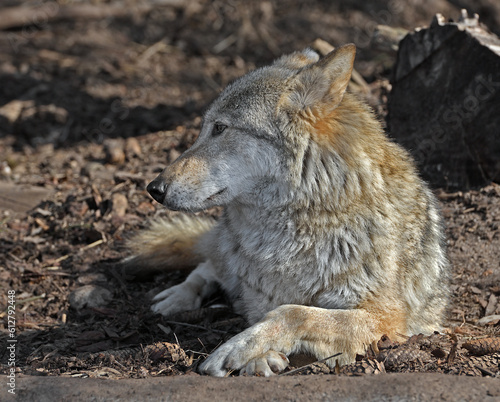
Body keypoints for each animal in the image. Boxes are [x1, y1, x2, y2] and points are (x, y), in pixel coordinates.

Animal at [124, 44, 450, 376]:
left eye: (219, 128)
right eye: (204, 129)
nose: (154, 188)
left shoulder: (388, 319)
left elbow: (293, 312)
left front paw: (238, 349)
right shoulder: (259, 296)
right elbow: (273, 312)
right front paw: (258, 356)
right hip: (226, 253)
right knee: (207, 265)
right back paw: (176, 296)